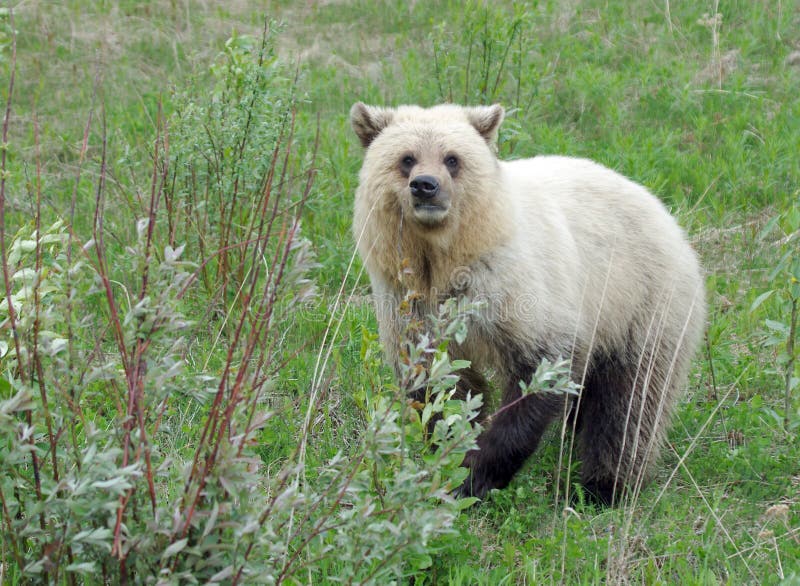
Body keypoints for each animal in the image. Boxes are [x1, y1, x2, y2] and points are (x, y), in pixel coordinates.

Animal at [350, 100, 708, 502]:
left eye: (452, 158)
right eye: (407, 158)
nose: (425, 186)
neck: (444, 259)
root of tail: (665, 213)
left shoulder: (516, 290)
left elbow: (540, 369)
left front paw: (479, 474)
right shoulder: (409, 303)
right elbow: (440, 384)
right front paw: (452, 458)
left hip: (642, 300)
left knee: (631, 401)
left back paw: (603, 486)